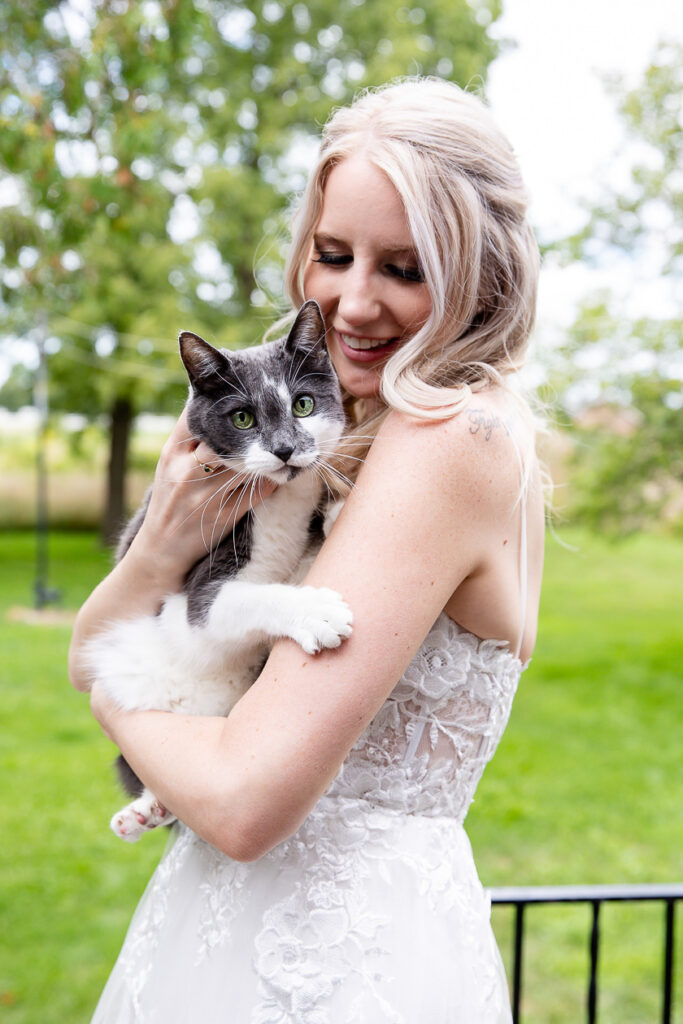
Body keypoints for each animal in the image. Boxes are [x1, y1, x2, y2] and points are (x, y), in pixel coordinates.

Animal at [85, 299, 352, 843]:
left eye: (303, 405)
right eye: (243, 417)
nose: (285, 449)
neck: (282, 504)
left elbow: (308, 551)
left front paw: (335, 515)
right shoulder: (199, 590)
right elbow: (241, 600)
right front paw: (317, 612)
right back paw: (140, 813)